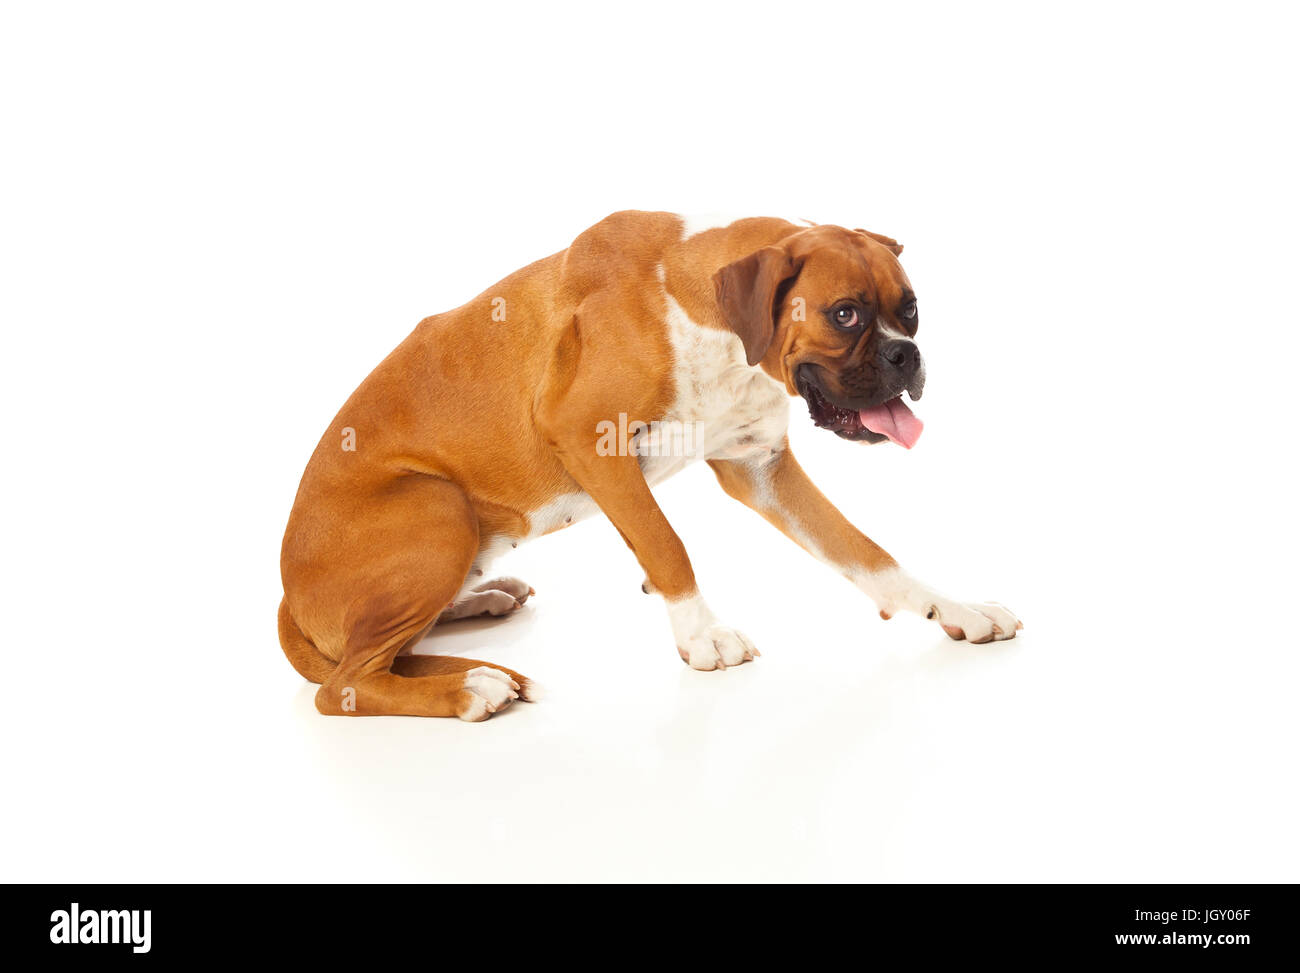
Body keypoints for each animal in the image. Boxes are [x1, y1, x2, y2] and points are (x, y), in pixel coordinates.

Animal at [279, 213, 1019, 712]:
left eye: (911, 311)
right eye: (845, 315)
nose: (907, 356)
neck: (712, 318)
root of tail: (286, 598)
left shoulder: (762, 470)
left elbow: (866, 552)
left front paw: (955, 608)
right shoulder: (588, 439)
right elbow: (666, 543)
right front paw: (703, 634)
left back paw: (483, 601)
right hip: (440, 509)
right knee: (344, 684)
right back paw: (470, 688)